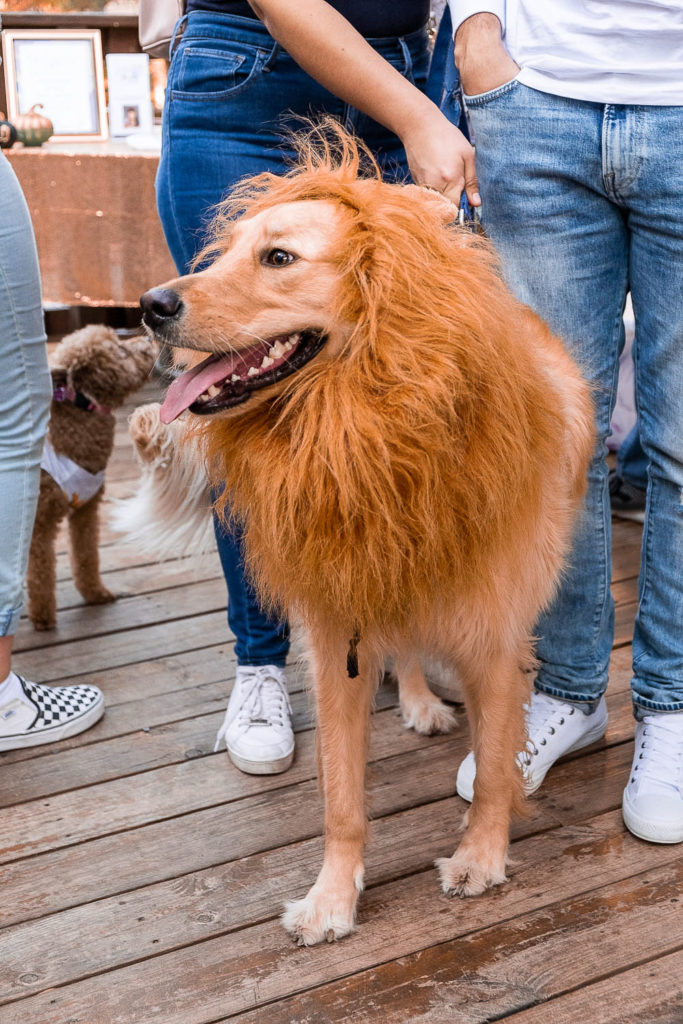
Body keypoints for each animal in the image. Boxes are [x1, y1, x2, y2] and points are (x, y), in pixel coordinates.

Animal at [27, 327, 155, 626]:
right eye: (120, 350)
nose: (148, 337)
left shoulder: (86, 509)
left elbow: (86, 556)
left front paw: (95, 593)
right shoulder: (39, 522)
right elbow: (40, 572)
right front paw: (42, 617)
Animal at [132, 128, 593, 942]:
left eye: (278, 257)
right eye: (223, 253)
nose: (151, 305)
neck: (361, 439)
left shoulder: (493, 635)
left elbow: (493, 768)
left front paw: (480, 856)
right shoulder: (337, 627)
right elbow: (341, 797)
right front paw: (332, 898)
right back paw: (415, 699)